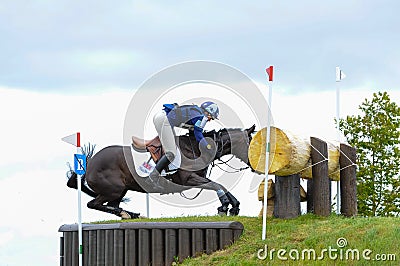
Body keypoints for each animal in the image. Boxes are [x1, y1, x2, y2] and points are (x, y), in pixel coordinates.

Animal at [65, 125, 253, 219]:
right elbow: (217, 185)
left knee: (112, 205)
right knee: (93, 204)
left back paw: (131, 214)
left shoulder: (197, 178)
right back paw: (127, 214)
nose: (255, 164)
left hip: (120, 190)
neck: (197, 147)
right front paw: (225, 205)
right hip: (113, 190)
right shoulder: (188, 179)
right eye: (252, 142)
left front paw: (234, 206)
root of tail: (90, 162)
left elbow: (220, 185)